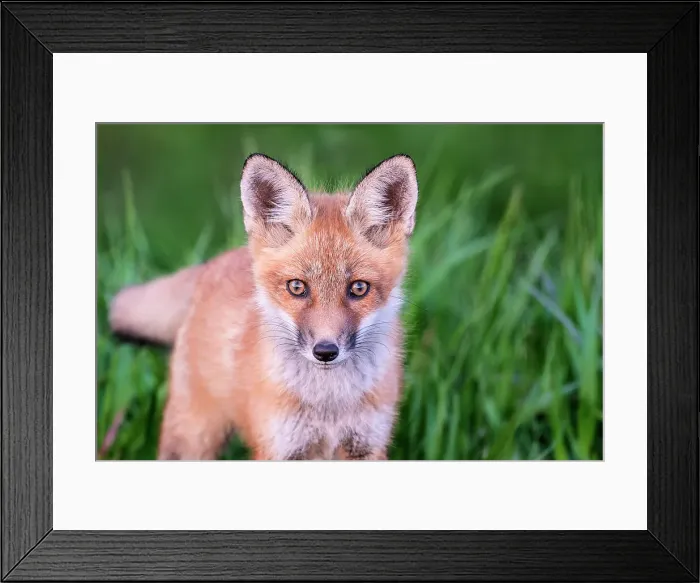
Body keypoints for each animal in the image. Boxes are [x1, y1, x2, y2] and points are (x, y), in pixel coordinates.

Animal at [108, 153, 419, 460]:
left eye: (358, 288)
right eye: (297, 287)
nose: (325, 352)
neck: (329, 404)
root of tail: (214, 263)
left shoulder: (367, 445)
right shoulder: (278, 447)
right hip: (193, 439)